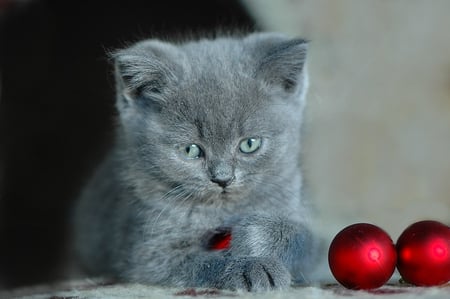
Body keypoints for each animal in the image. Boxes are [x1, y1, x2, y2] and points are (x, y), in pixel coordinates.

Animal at [74, 32, 318, 292]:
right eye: (191, 150)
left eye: (249, 144)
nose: (223, 178)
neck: (222, 210)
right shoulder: (149, 252)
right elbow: (200, 262)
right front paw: (253, 267)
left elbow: (307, 240)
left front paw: (254, 235)